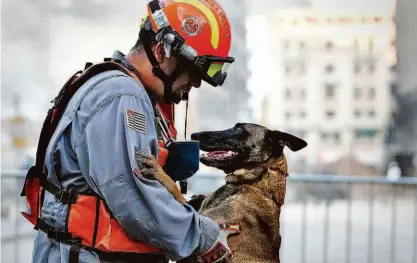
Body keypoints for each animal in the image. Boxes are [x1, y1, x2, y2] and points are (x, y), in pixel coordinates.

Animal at [136, 124, 306, 263]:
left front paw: (159, 171)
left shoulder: (199, 226)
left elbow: (175, 191)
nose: (194, 135)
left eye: (239, 128)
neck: (255, 183)